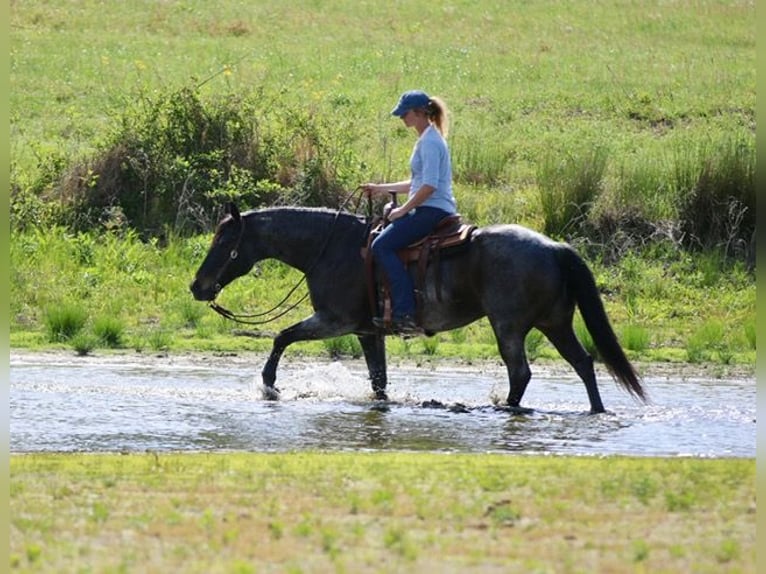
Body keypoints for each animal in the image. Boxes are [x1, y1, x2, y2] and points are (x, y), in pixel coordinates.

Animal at [190, 203, 646, 413]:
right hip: (554, 323)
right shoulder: (366, 331)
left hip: (509, 326)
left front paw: (269, 385)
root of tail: (555, 248)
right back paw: (596, 410)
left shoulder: (334, 321)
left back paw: (505, 407)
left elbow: (282, 336)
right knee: (583, 362)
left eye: (224, 242)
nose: (197, 286)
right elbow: (378, 380)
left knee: (521, 372)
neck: (332, 248)